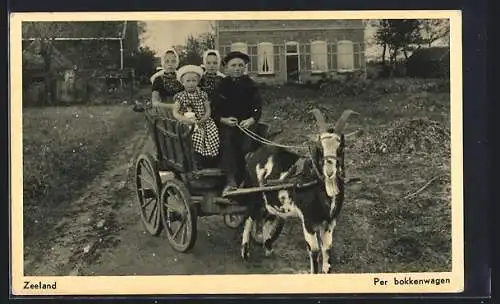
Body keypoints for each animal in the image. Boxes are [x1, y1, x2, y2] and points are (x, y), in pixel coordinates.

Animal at [240, 108, 358, 274]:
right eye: (320, 147)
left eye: (341, 147)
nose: (329, 172)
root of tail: (251, 155)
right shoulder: (308, 220)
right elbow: (314, 250)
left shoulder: (330, 221)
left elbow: (327, 249)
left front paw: (326, 270)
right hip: (255, 194)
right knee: (249, 217)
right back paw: (245, 252)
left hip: (272, 199)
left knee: (268, 218)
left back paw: (268, 248)